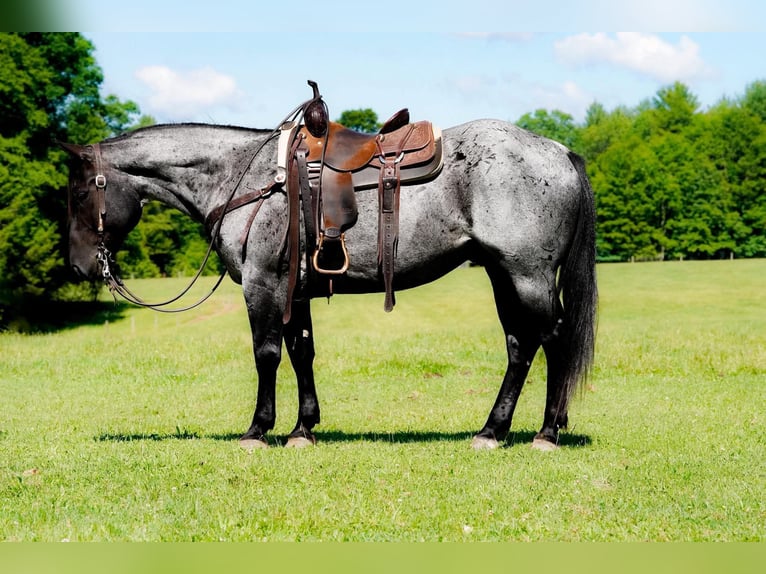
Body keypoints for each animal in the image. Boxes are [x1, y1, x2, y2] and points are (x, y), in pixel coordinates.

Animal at [60, 117, 597, 451]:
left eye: (81, 193)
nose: (79, 266)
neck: (245, 178)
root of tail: (557, 150)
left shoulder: (262, 284)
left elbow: (267, 354)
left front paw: (258, 430)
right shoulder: (293, 292)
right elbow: (302, 352)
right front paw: (303, 428)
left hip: (527, 276)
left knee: (552, 341)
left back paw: (547, 432)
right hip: (504, 275)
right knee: (520, 346)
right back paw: (493, 429)